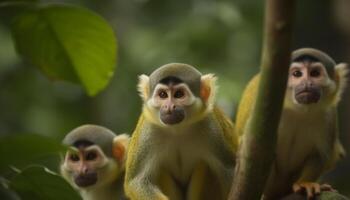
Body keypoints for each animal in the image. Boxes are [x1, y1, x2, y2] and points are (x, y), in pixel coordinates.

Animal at [123, 63, 238, 200]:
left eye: (178, 94)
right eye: (163, 95)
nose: (169, 107)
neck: (177, 129)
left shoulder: (212, 129)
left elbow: (230, 170)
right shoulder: (148, 131)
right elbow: (137, 182)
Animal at [235, 47, 348, 199]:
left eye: (315, 73)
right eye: (297, 74)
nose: (306, 83)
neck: (298, 109)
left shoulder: (329, 114)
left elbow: (319, 155)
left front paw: (305, 183)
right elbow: (256, 151)